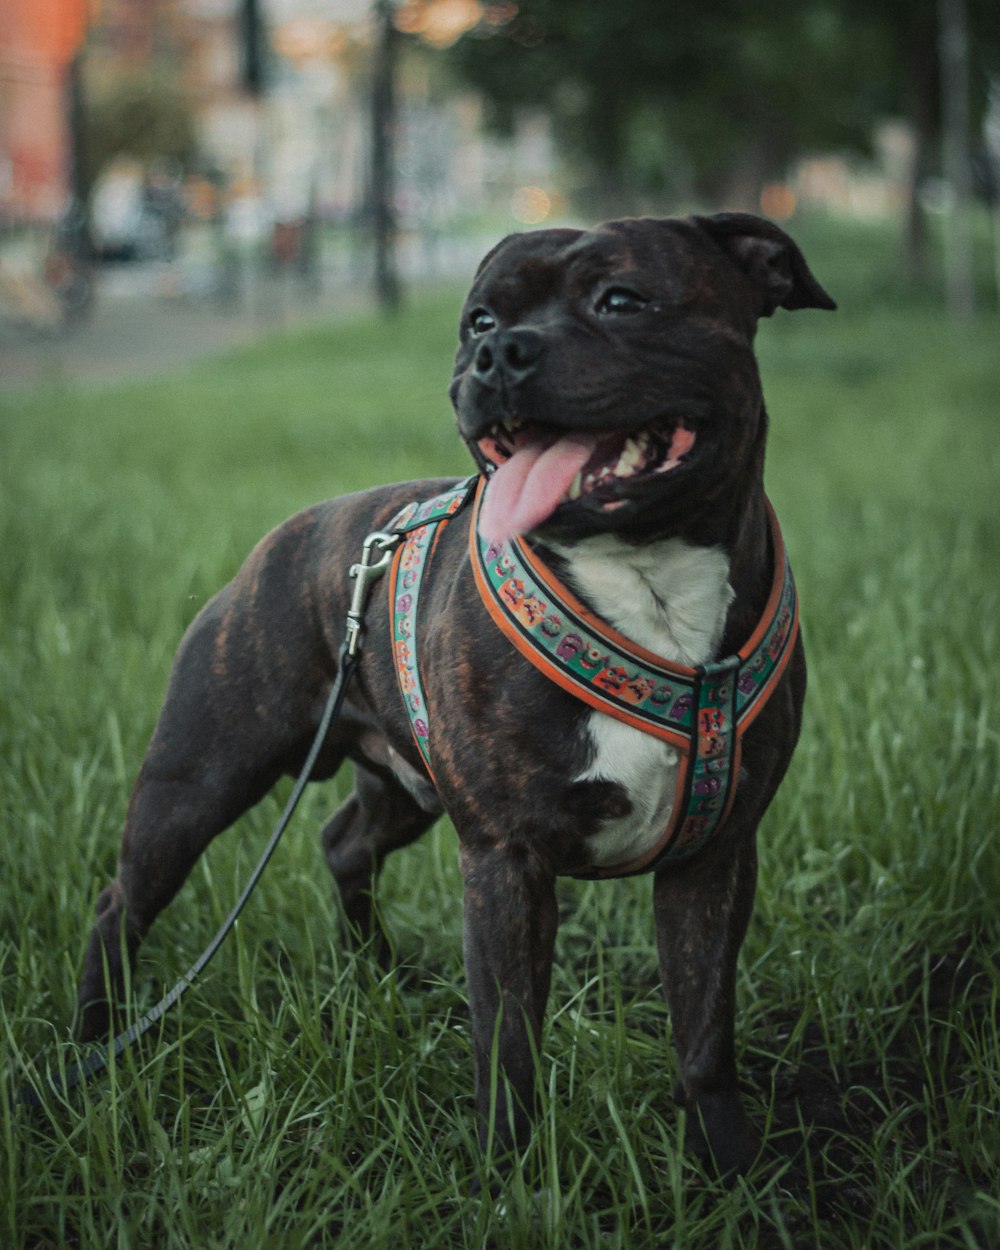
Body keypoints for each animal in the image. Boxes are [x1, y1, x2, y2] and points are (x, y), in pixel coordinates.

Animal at [74, 215, 830, 1180]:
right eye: (479, 320)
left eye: (622, 299)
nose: (499, 353)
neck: (645, 579)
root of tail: (282, 538)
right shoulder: (504, 859)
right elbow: (507, 1040)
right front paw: (508, 1174)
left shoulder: (716, 855)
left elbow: (705, 1030)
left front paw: (728, 1167)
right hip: (197, 782)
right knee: (123, 903)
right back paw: (87, 1042)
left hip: (406, 783)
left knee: (345, 844)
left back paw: (376, 974)